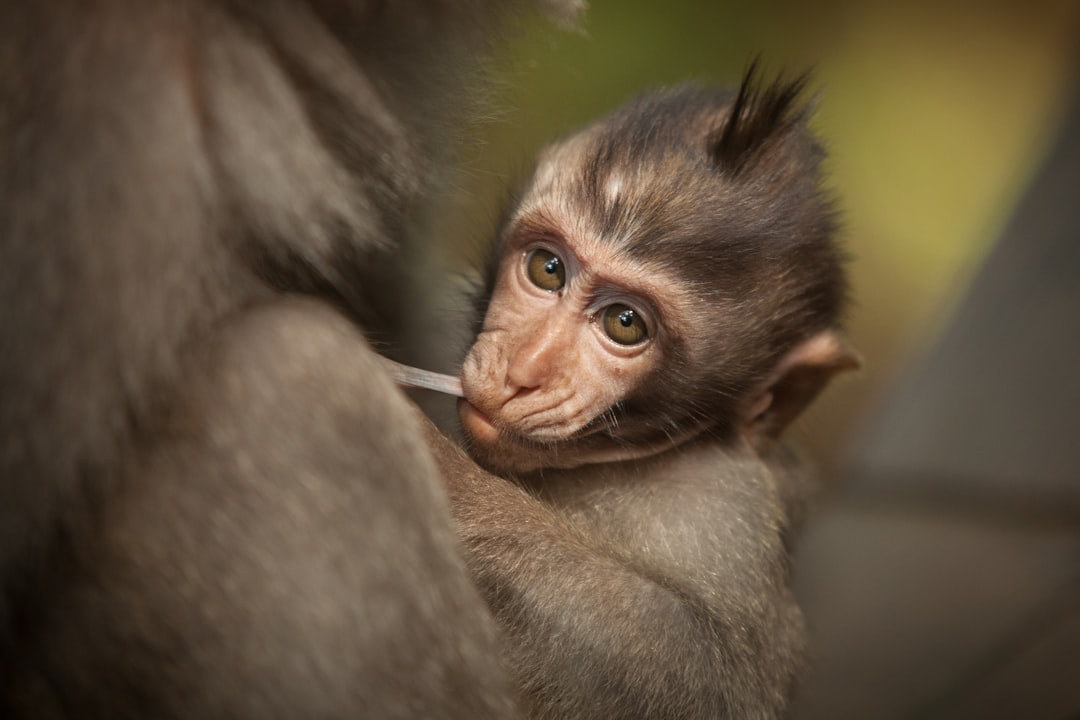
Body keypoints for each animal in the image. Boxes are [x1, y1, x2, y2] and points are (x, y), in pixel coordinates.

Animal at [397, 64, 859, 716]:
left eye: (624, 324)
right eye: (547, 269)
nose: (521, 371)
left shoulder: (723, 505)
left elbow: (711, 675)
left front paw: (440, 472)